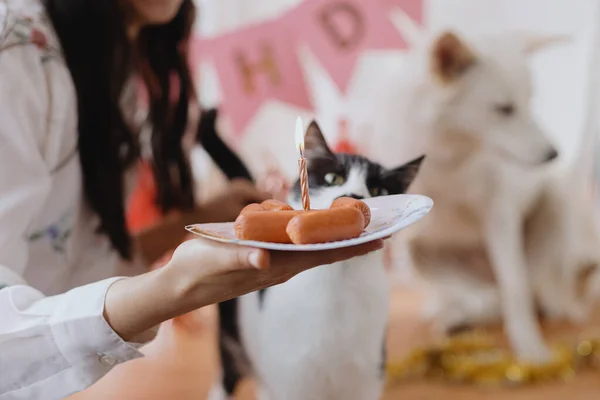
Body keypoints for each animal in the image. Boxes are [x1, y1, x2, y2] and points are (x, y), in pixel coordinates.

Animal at [209, 122, 424, 400]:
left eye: (379, 191)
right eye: (334, 178)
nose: (356, 196)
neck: (338, 288)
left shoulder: (367, 377)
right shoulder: (290, 381)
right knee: (228, 370)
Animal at [404, 31, 600, 362]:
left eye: (529, 104)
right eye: (504, 109)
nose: (553, 154)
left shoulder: (500, 213)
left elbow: (515, 286)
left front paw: (531, 350)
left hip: (557, 207)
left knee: (546, 293)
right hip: (417, 252)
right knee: (483, 300)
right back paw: (457, 318)